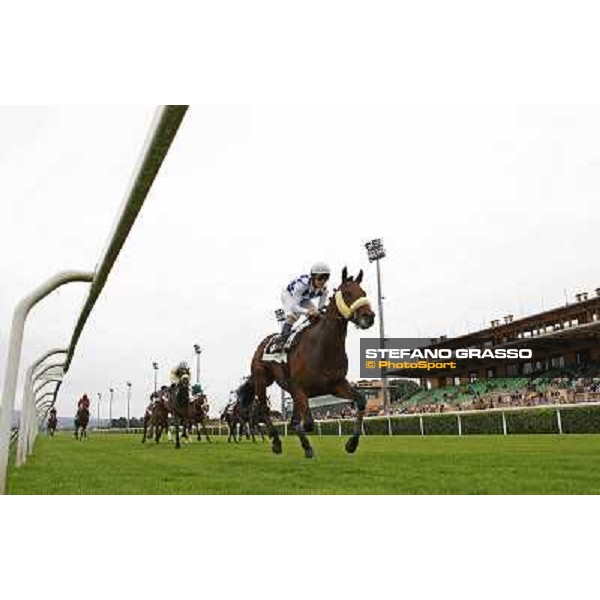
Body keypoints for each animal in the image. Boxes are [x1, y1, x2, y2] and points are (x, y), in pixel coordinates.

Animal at [246, 268, 372, 460]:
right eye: (347, 293)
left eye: (363, 293)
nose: (369, 317)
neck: (323, 348)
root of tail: (264, 343)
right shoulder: (299, 388)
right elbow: (308, 423)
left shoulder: (336, 385)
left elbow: (361, 401)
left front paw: (351, 444)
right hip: (261, 380)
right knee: (263, 410)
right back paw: (276, 442)